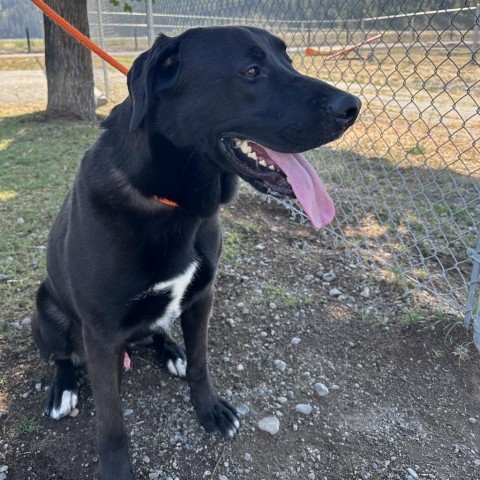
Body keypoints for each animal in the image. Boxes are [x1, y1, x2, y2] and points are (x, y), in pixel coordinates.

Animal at [31, 27, 360, 480]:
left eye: (289, 61)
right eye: (251, 71)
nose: (354, 107)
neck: (173, 204)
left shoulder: (202, 295)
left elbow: (202, 363)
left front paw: (210, 410)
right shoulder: (99, 333)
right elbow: (111, 420)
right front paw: (116, 467)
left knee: (157, 332)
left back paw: (171, 351)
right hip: (45, 310)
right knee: (62, 356)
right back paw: (63, 389)